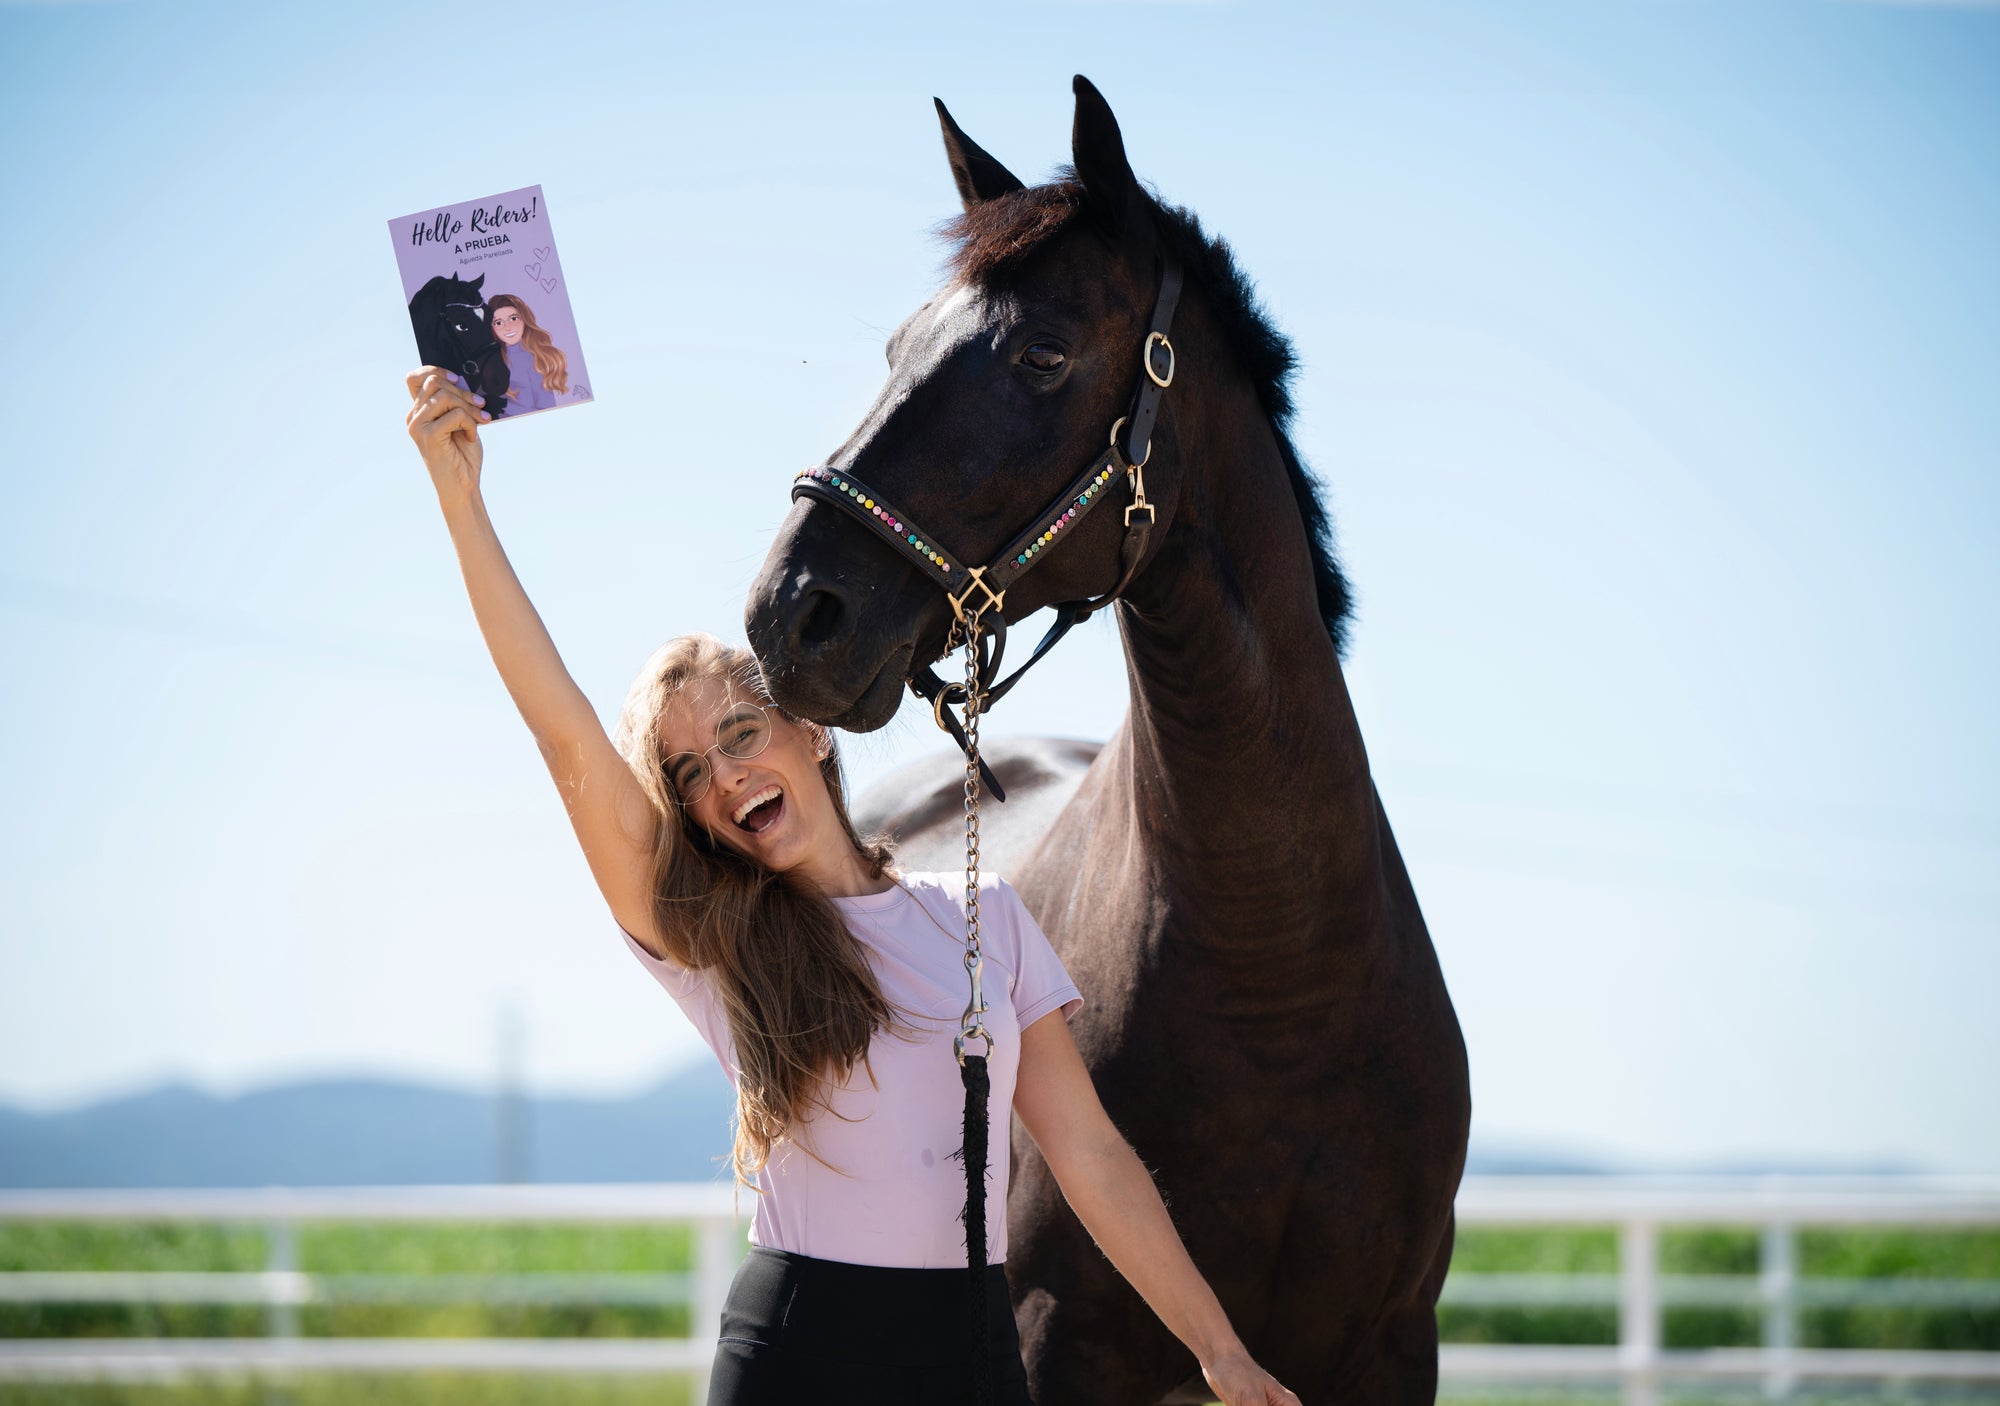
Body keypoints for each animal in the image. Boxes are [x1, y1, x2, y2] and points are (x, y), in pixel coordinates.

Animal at [752, 80, 1472, 1406]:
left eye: (1041, 353)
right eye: (895, 346)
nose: (789, 611)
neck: (1279, 982)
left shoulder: (1389, 1349)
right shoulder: (1057, 1344)